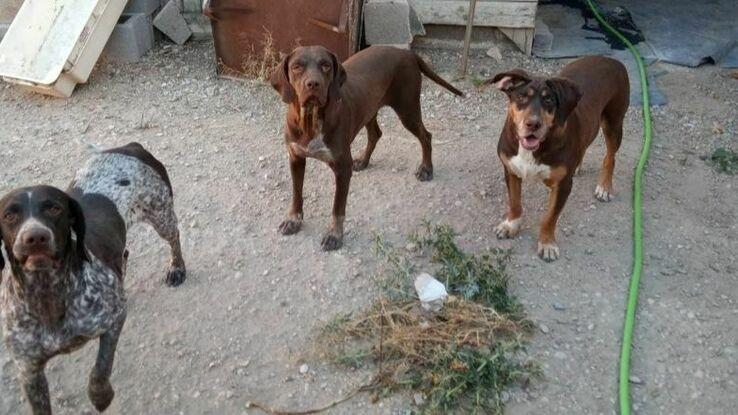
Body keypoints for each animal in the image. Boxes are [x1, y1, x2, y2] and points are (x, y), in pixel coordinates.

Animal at [0, 144, 184, 415]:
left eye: (54, 208)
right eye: (9, 215)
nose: (35, 237)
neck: (48, 292)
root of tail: (129, 146)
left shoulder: (113, 321)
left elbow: (100, 369)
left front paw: (101, 397)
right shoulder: (29, 369)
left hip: (161, 215)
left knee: (174, 237)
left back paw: (177, 268)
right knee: (124, 255)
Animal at [270, 47, 462, 252]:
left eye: (326, 65)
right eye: (297, 66)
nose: (313, 84)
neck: (311, 120)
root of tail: (405, 52)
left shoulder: (342, 168)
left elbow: (338, 208)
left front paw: (334, 235)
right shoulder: (296, 158)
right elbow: (296, 194)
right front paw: (293, 220)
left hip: (407, 109)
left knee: (426, 136)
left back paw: (426, 168)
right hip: (371, 108)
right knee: (375, 134)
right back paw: (363, 160)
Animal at [488, 55, 628, 262]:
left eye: (549, 100)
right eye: (521, 97)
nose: (533, 124)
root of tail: (611, 59)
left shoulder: (562, 186)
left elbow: (550, 217)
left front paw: (547, 244)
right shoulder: (511, 171)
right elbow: (514, 202)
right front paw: (510, 225)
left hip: (614, 121)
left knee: (610, 157)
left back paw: (604, 187)